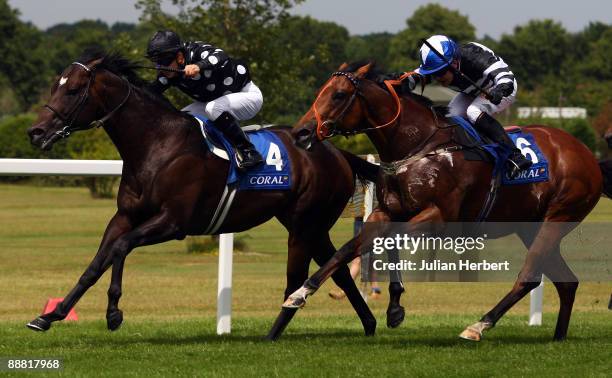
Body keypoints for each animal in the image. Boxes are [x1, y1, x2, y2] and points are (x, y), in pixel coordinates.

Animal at [25, 50, 378, 336]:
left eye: (72, 90)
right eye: (55, 86)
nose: (36, 132)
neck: (157, 144)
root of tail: (335, 151)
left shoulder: (173, 222)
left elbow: (121, 248)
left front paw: (113, 313)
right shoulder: (125, 216)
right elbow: (97, 262)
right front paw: (50, 315)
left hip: (306, 224)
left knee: (299, 277)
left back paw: (273, 334)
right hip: (308, 225)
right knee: (338, 270)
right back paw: (369, 324)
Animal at [280, 60, 608, 342]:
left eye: (338, 94)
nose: (301, 132)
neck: (419, 145)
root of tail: (587, 156)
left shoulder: (437, 218)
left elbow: (388, 241)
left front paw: (394, 305)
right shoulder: (385, 212)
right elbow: (348, 249)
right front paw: (300, 293)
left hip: (558, 217)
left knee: (529, 278)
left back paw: (478, 326)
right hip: (530, 225)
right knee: (566, 282)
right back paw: (558, 337)